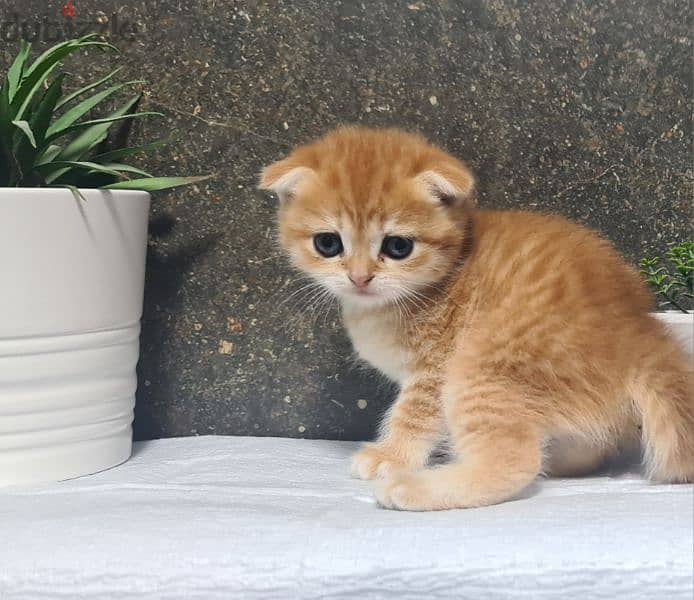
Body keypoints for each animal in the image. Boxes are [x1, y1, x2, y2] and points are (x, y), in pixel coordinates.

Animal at [260, 126, 694, 510]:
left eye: (398, 247)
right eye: (328, 243)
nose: (360, 277)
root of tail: (640, 335)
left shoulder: (435, 371)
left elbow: (412, 415)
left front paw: (391, 456)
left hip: (478, 369)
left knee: (513, 459)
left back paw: (414, 488)